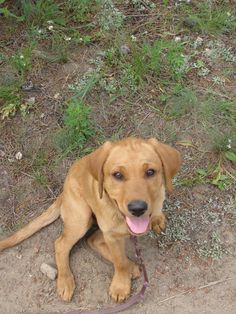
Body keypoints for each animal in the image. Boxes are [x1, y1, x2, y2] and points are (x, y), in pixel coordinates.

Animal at [0, 137, 182, 302]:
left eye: (150, 172)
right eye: (117, 175)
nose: (137, 208)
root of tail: (63, 192)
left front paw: (157, 218)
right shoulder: (111, 235)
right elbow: (119, 262)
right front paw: (120, 286)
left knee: (92, 240)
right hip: (82, 219)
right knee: (62, 244)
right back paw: (66, 281)